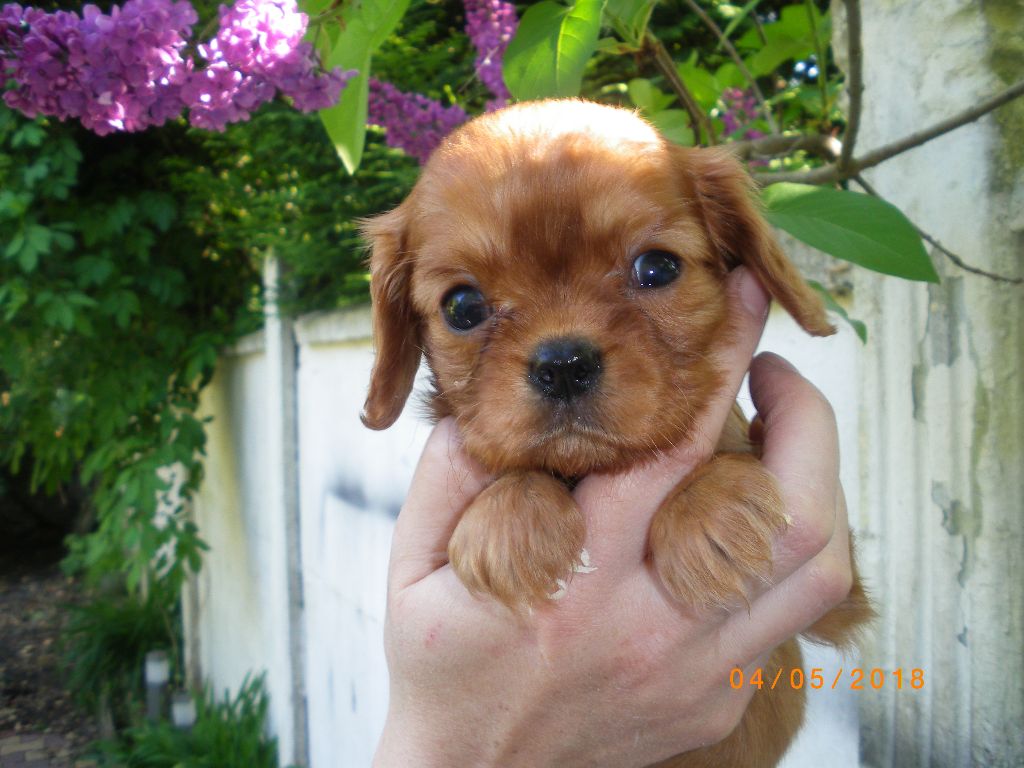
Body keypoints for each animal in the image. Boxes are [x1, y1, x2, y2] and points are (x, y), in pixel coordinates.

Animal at [360, 99, 871, 767]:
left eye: (656, 267)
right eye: (462, 307)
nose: (563, 364)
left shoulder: (838, 598)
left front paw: (713, 510)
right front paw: (510, 520)